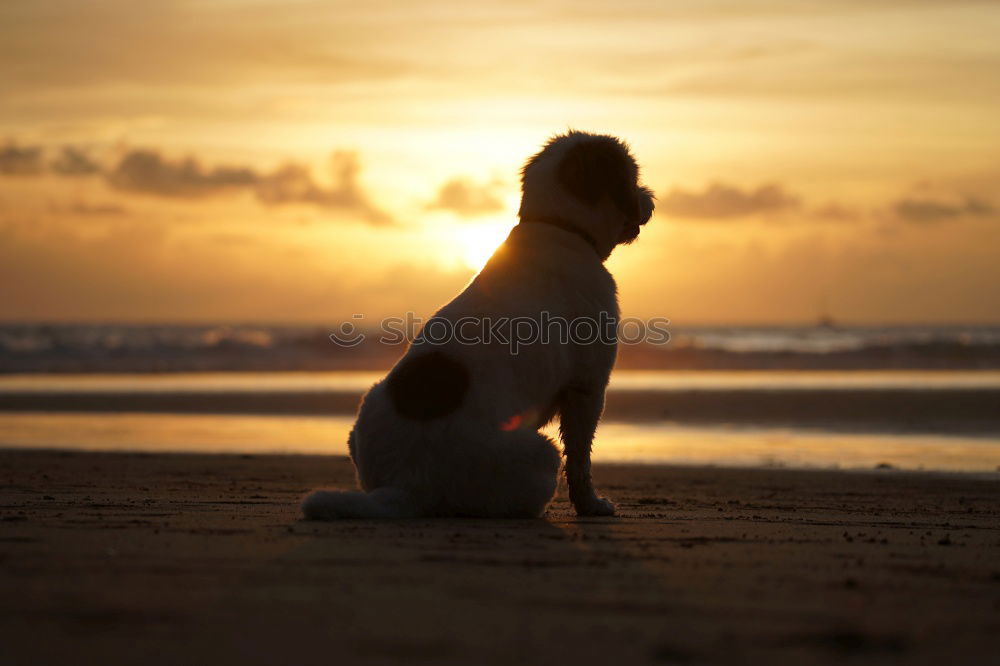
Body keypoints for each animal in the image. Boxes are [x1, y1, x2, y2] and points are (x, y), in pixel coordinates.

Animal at [304, 131, 656, 520]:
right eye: (631, 176)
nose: (650, 200)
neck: (557, 226)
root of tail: (407, 485)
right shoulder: (588, 386)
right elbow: (581, 459)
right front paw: (591, 505)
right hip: (541, 455)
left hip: (366, 410)